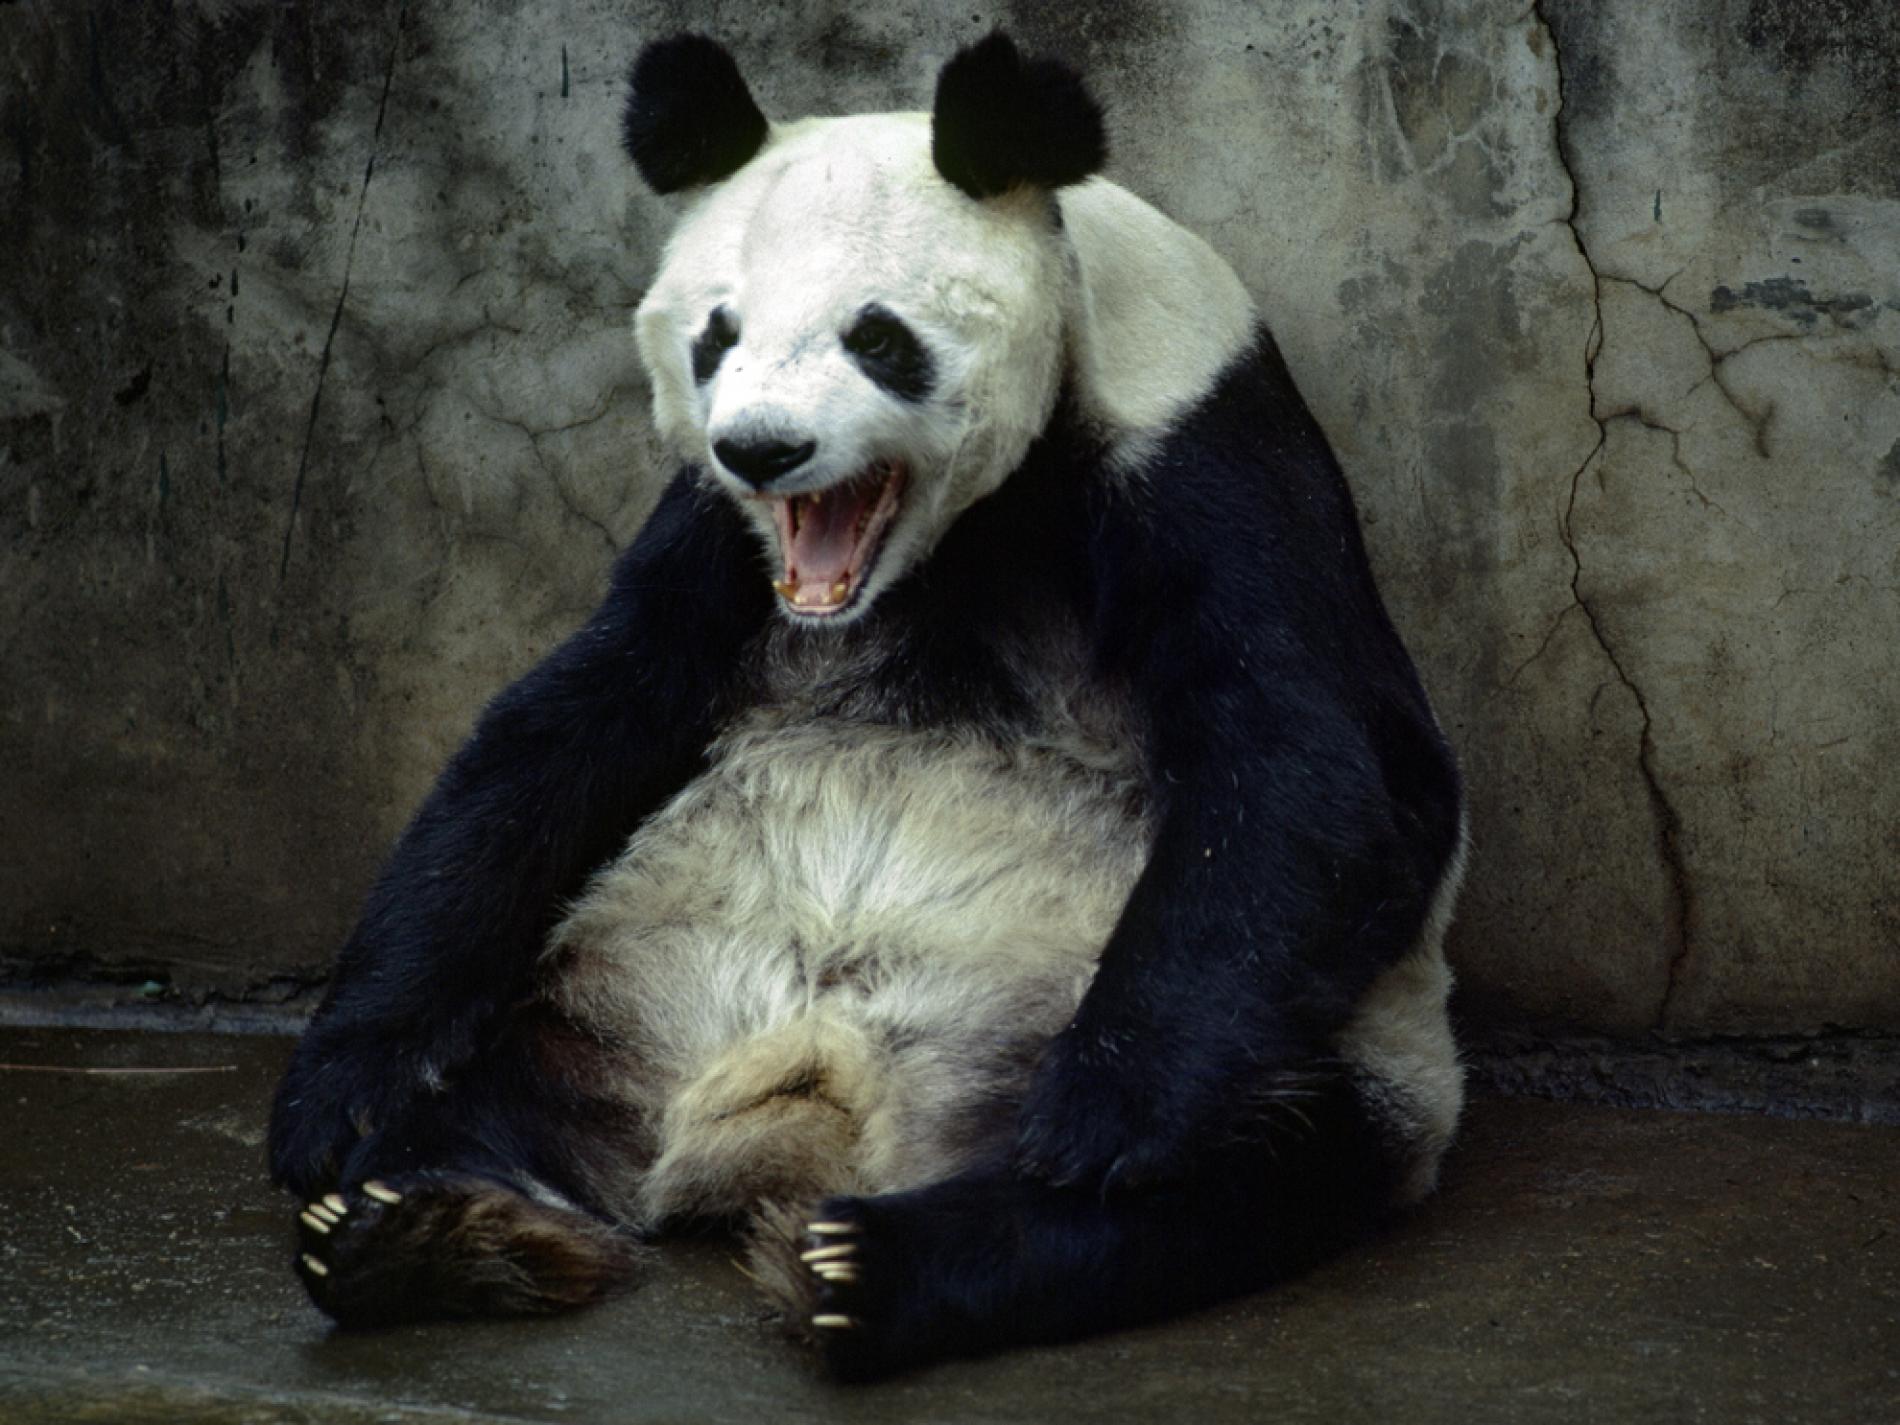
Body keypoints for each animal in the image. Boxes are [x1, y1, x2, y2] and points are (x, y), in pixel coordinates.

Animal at [269, 32, 1468, 1380]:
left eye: (877, 337)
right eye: (717, 336)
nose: (763, 448)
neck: (952, 540)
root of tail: (816, 1110)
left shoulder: (1199, 440)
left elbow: (1323, 760)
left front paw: (1104, 1112)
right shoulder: (715, 540)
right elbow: (566, 725)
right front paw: (334, 1097)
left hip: (1319, 1051)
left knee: (1232, 1171)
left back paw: (872, 1264)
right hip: (604, 998)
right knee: (490, 1098)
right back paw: (417, 1225)